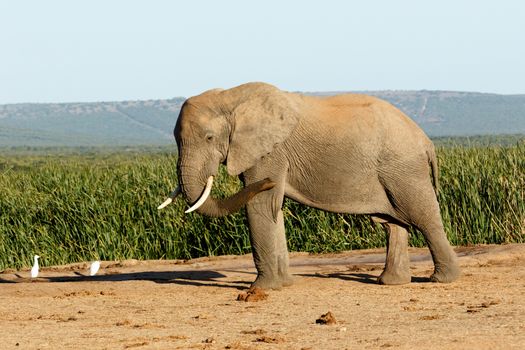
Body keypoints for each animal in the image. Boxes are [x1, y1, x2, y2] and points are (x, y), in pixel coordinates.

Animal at [159, 82, 458, 290]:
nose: (268, 181)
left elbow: (261, 205)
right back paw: (390, 283)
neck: (230, 97)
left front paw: (260, 289)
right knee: (391, 223)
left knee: (423, 216)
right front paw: (284, 285)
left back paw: (442, 280)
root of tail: (427, 141)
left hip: (403, 169)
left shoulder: (270, 153)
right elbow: (274, 209)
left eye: (209, 138)